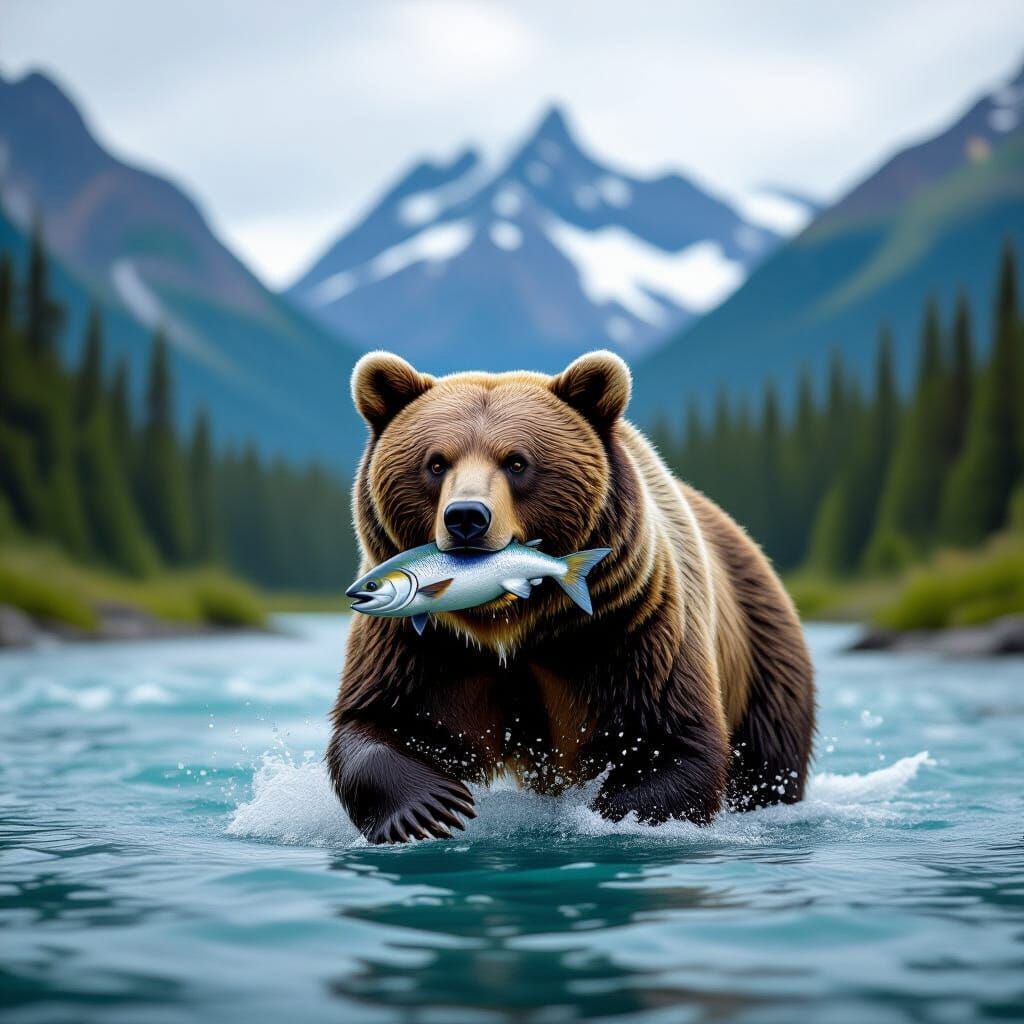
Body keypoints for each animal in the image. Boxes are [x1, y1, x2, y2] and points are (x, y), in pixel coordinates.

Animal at [327, 350, 815, 844]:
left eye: (517, 462)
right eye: (436, 462)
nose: (466, 517)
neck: (511, 622)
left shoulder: (628, 624)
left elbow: (673, 737)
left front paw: (616, 815)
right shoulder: (421, 643)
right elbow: (379, 719)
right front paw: (430, 809)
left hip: (761, 655)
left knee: (767, 757)